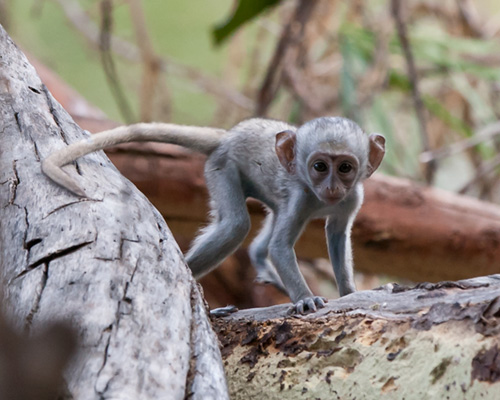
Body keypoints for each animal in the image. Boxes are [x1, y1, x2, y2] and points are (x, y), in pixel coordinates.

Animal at [44, 117, 386, 314]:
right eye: (319, 166)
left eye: (345, 167)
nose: (331, 187)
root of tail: (226, 137)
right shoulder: (302, 195)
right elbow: (280, 247)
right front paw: (305, 299)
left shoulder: (353, 198)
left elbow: (337, 235)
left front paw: (351, 291)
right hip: (222, 166)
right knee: (236, 225)